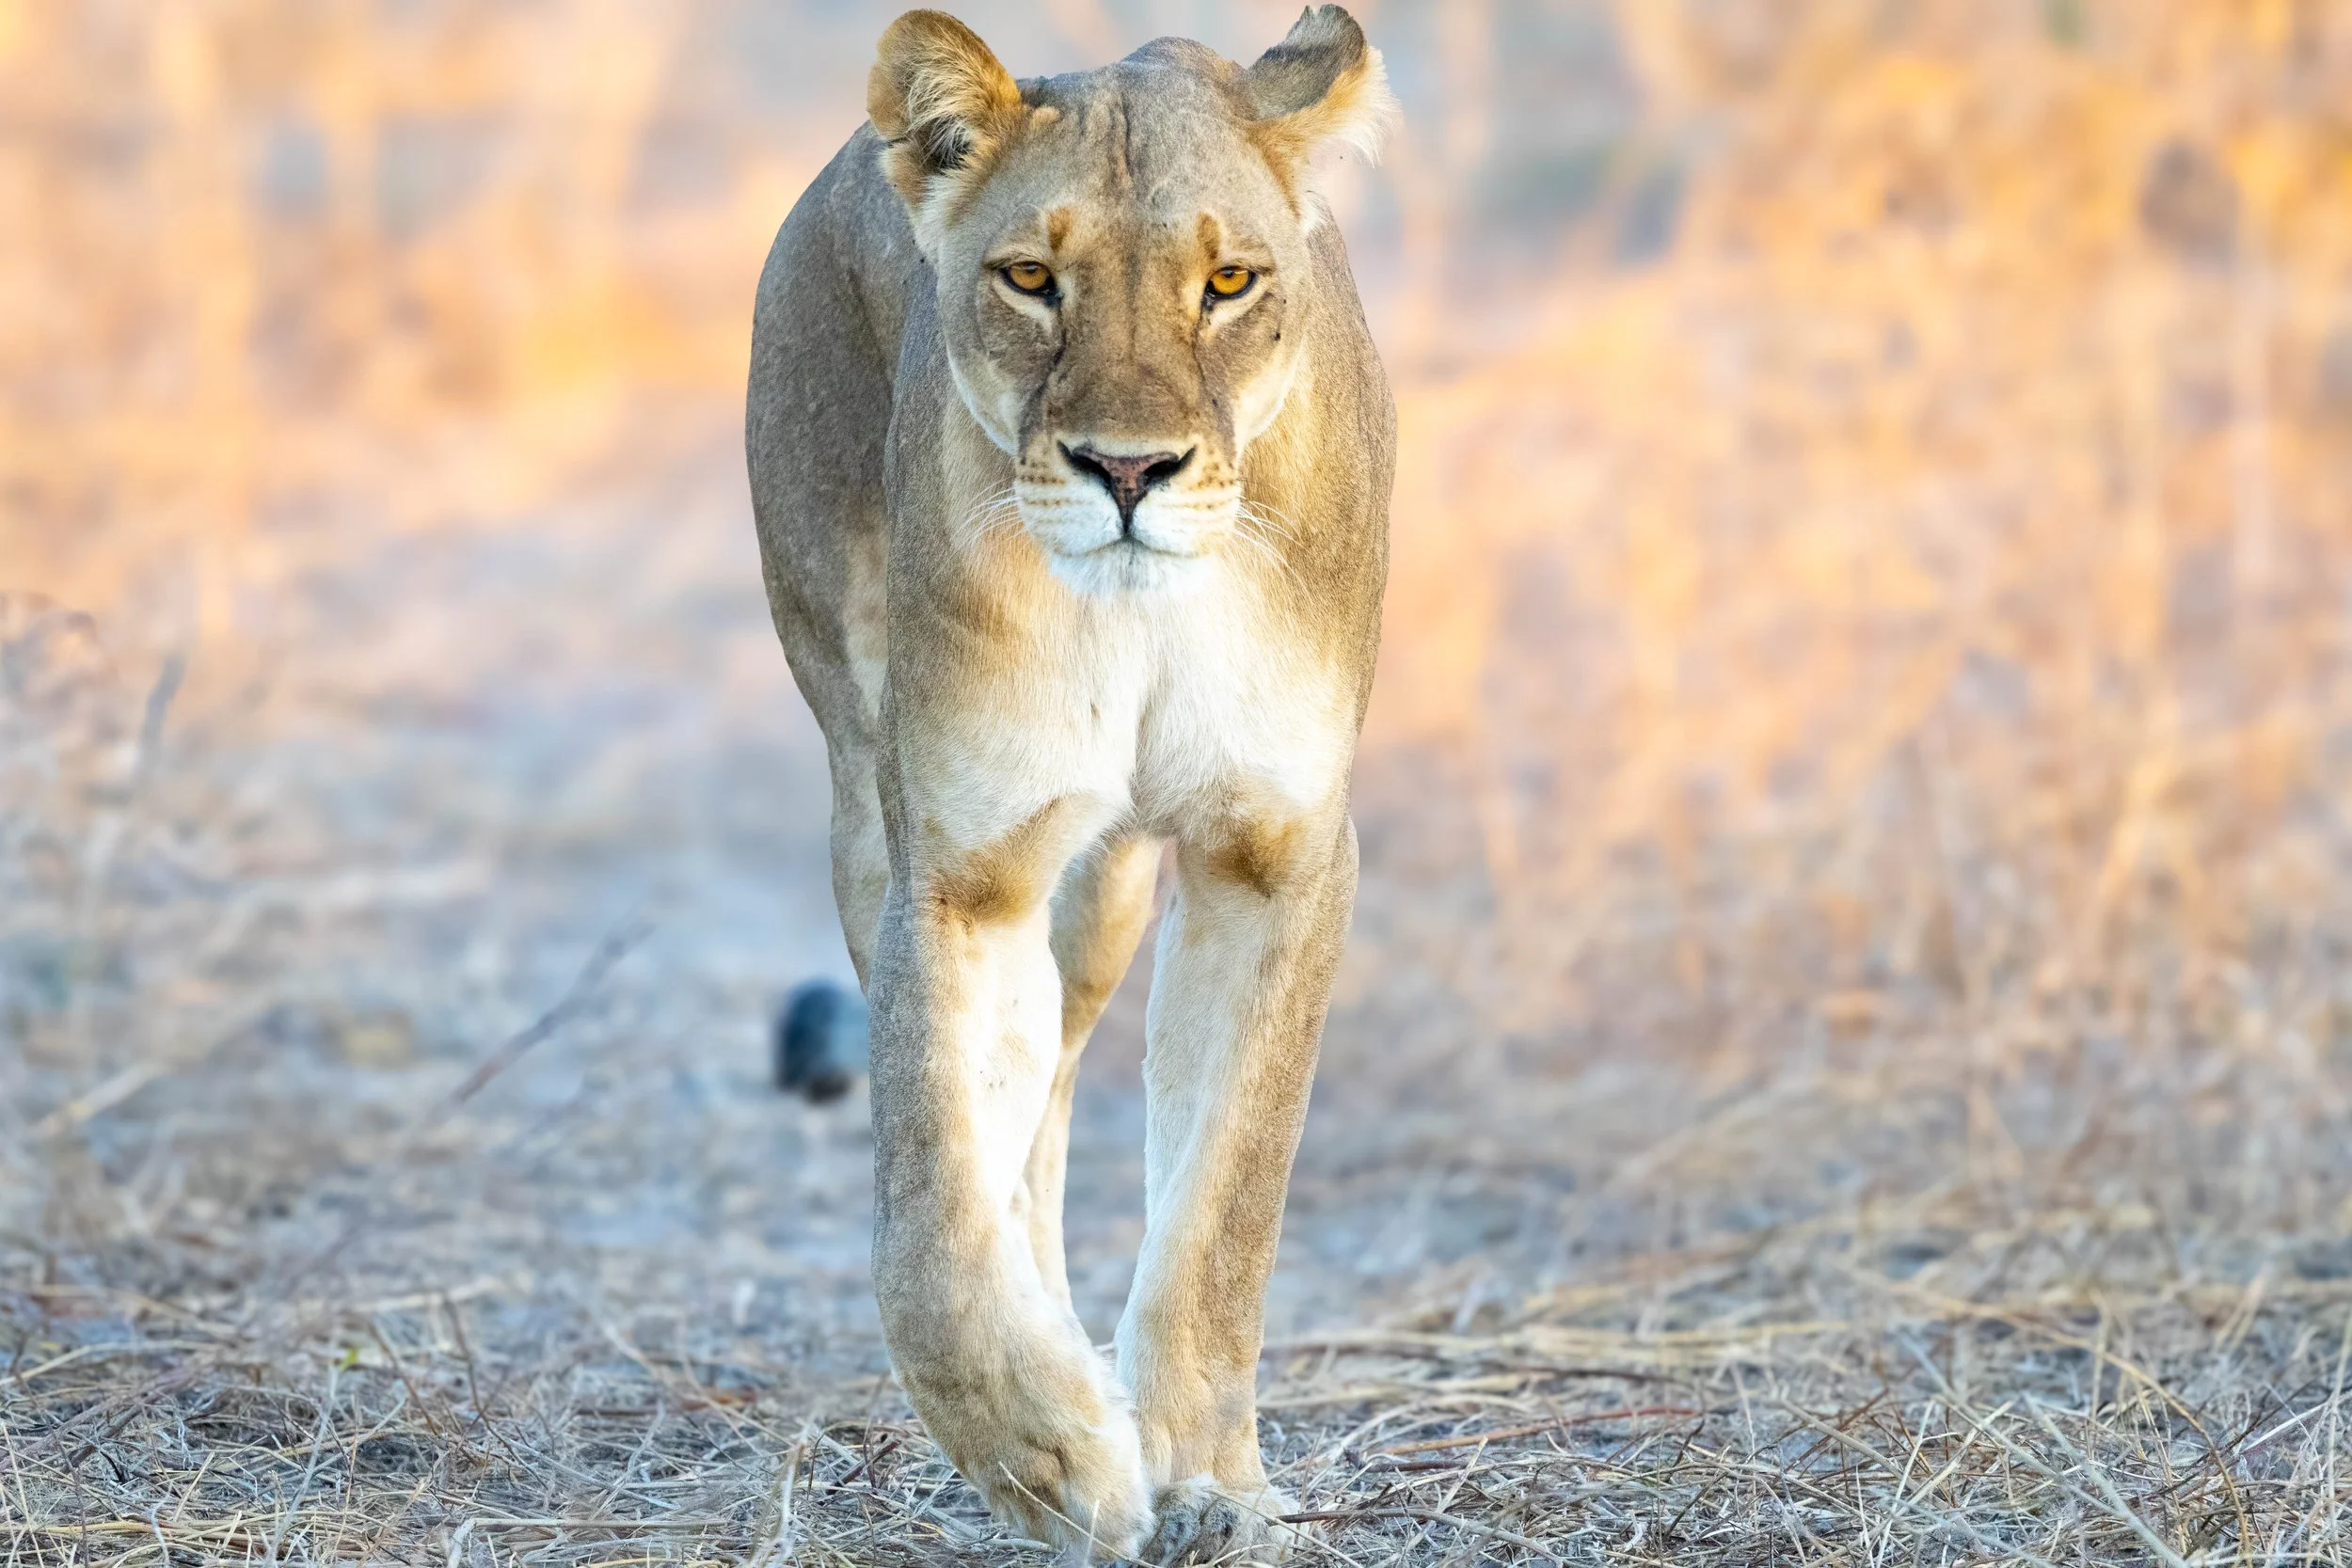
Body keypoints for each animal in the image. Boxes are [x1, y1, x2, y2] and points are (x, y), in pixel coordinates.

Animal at [745, 7, 1396, 1561]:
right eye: (1032, 279)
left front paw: (1209, 1482)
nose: (1129, 471)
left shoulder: (1276, 851)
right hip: (874, 797)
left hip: (1102, 897)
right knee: (1011, 1133)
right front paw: (1053, 1453)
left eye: (1229, 282)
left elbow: (1226, 1202)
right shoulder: (959, 864)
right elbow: (933, 1206)